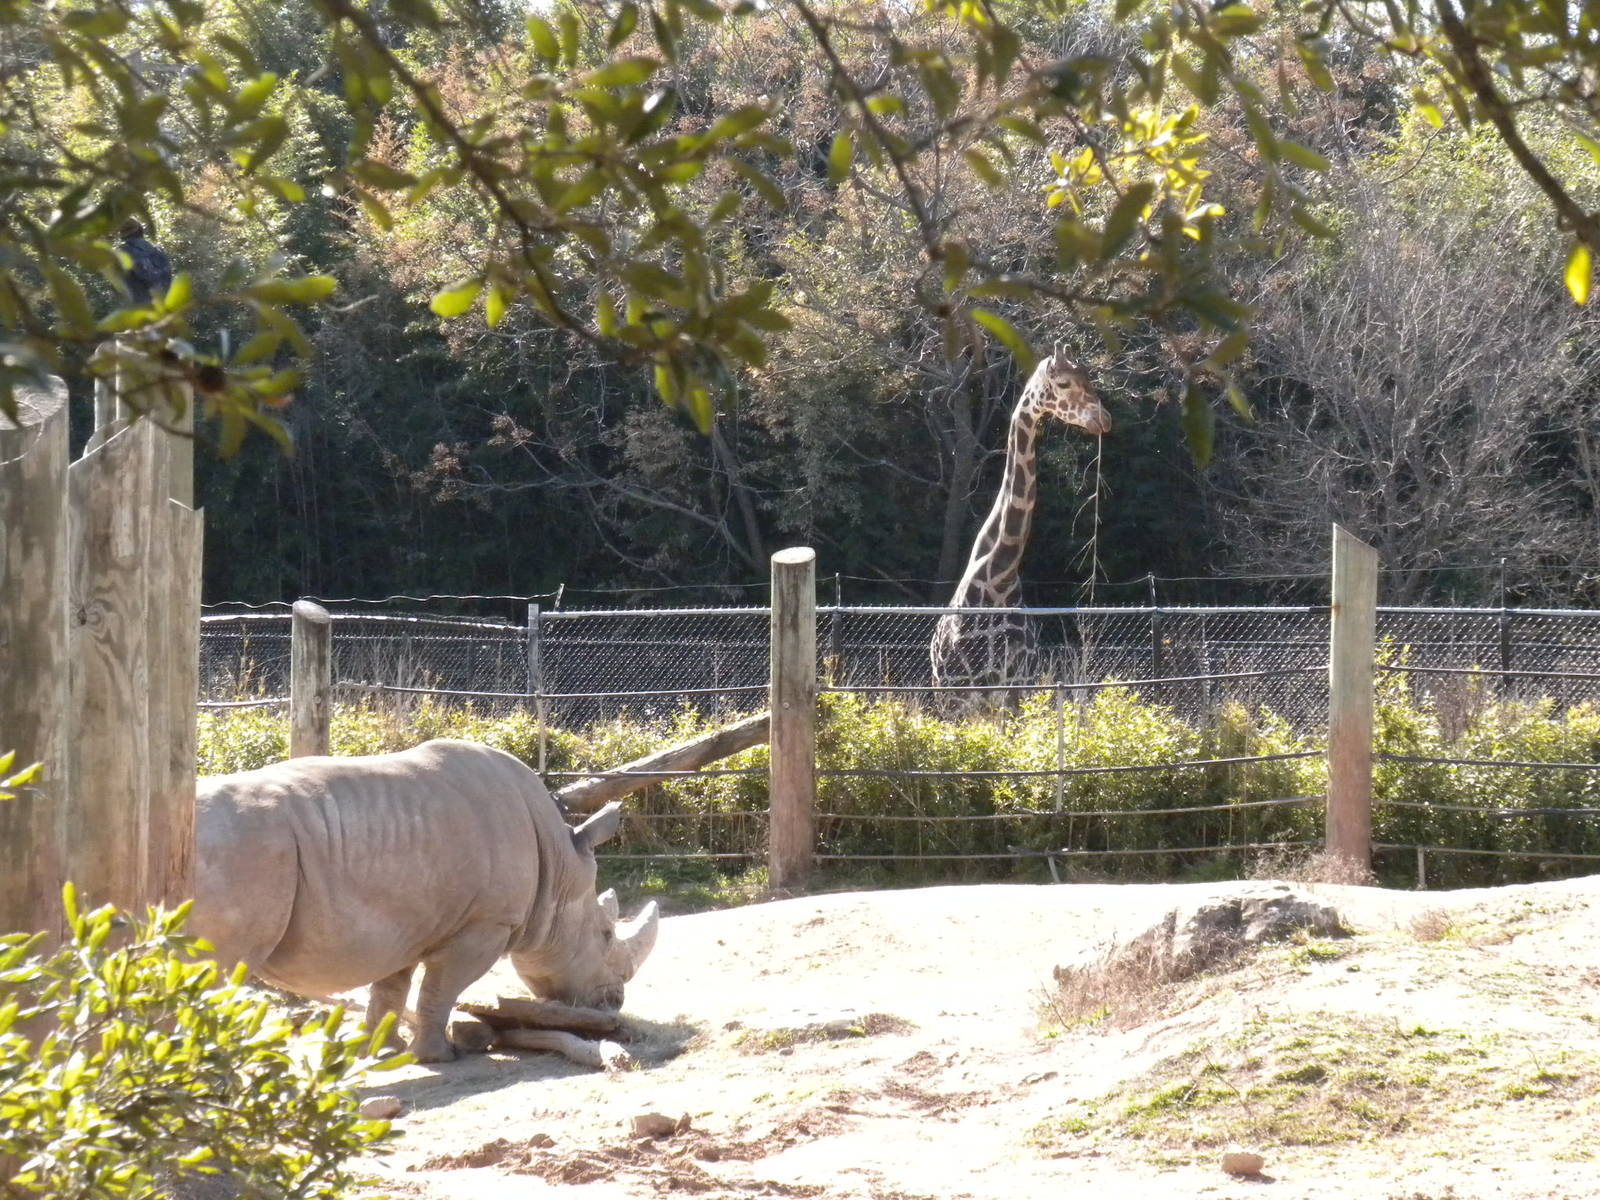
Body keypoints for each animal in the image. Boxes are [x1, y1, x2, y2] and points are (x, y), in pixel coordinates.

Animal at [192, 738, 658, 1062]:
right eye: (605, 934)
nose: (615, 1002)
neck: (558, 870)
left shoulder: (400, 922)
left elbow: (390, 989)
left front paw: (382, 1051)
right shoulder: (486, 923)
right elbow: (440, 988)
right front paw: (440, 1056)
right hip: (238, 847)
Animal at [929, 353, 1111, 699]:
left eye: (1089, 379)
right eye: (1063, 383)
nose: (1104, 419)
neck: (1001, 574)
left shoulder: (1017, 682)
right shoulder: (964, 689)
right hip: (946, 691)